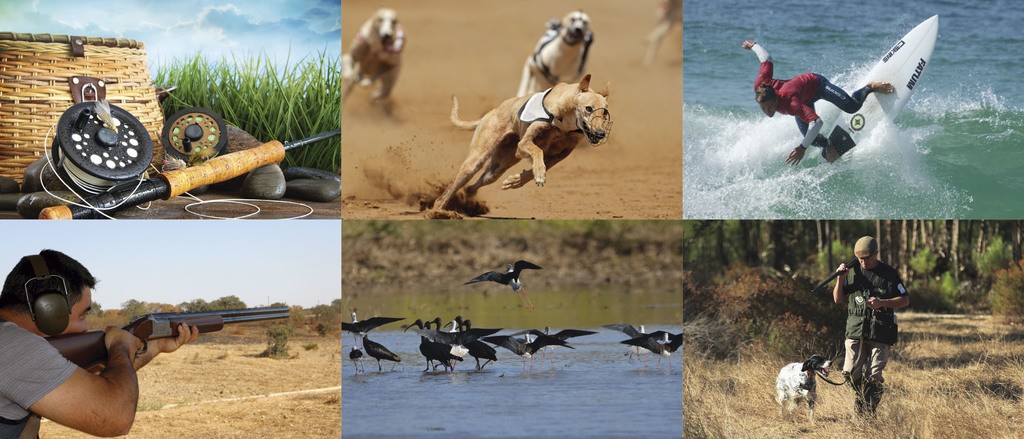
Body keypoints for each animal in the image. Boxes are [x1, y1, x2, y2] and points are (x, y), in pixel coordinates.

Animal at [428, 76, 610, 218]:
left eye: (605, 112)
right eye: (588, 108)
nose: (601, 134)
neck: (566, 119)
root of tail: (488, 114)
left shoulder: (562, 153)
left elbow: (538, 167)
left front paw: (517, 180)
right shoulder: (523, 144)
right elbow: (538, 151)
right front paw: (539, 174)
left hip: (498, 166)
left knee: (476, 183)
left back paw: (467, 198)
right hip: (475, 160)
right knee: (449, 191)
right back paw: (438, 211)